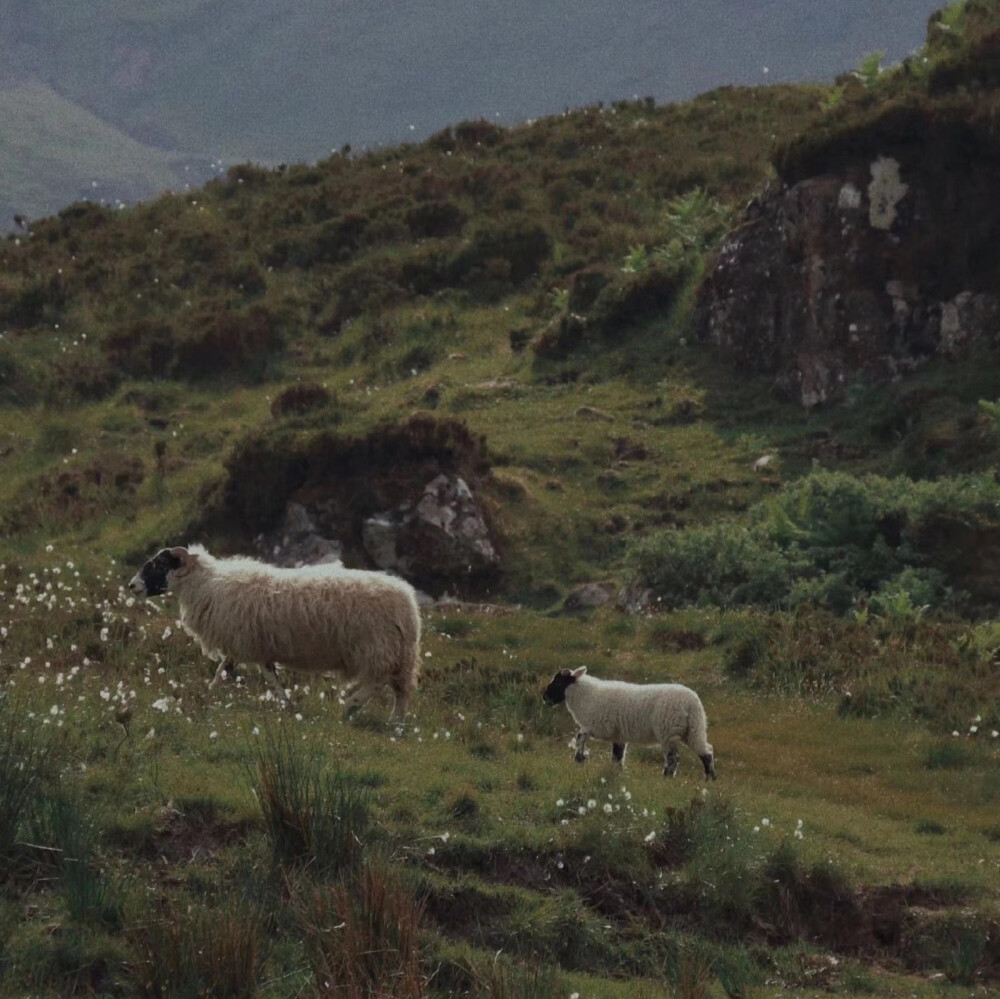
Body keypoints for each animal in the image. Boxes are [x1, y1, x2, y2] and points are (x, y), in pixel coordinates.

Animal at [128, 548, 418, 720]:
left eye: (158, 563)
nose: (132, 586)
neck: (206, 585)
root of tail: (407, 602)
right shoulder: (245, 645)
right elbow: (225, 672)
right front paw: (208, 695)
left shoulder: (249, 643)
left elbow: (266, 676)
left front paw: (287, 705)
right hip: (398, 654)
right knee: (400, 690)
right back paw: (396, 722)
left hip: (377, 648)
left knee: (379, 682)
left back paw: (351, 706)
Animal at [544, 668, 716, 776]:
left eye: (558, 683)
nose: (545, 698)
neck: (586, 696)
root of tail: (692, 703)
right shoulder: (618, 736)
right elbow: (617, 757)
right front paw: (617, 774)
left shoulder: (600, 726)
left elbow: (580, 735)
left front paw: (579, 757)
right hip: (693, 729)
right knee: (706, 752)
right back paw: (709, 780)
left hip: (668, 731)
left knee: (673, 758)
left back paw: (666, 778)